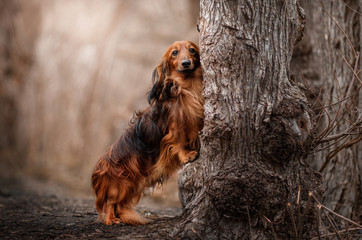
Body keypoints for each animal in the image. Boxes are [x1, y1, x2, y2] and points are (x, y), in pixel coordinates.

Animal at [90, 40, 204, 226]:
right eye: (174, 53)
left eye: (192, 50)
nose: (186, 63)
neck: (187, 89)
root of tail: (100, 167)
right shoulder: (175, 128)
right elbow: (179, 141)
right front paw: (187, 155)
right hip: (119, 186)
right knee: (110, 203)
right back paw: (111, 220)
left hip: (130, 187)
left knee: (118, 206)